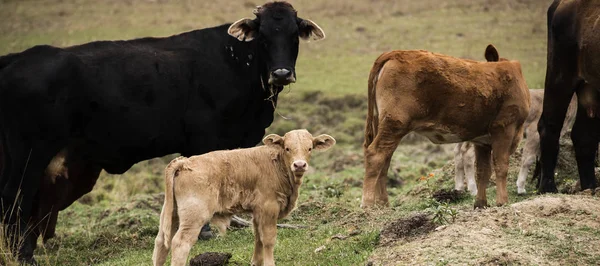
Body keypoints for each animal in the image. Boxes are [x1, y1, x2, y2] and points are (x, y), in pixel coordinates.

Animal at [152, 129, 336, 266]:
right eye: (287, 148)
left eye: (309, 148)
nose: (299, 165)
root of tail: (184, 162)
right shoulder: (269, 208)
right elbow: (268, 239)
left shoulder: (258, 211)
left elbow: (258, 237)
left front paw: (256, 262)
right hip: (194, 216)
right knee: (180, 243)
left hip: (172, 213)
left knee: (161, 242)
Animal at [540, 1, 600, 193]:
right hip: (559, 77)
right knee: (548, 126)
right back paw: (548, 187)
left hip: (591, 89)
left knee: (584, 137)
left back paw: (589, 187)